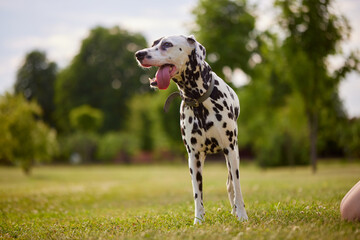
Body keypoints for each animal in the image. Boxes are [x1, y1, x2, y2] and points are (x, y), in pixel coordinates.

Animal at [135, 34, 248, 224]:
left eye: (167, 44)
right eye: (153, 43)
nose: (139, 54)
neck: (198, 101)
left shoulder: (231, 151)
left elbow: (238, 188)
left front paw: (242, 215)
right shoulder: (194, 158)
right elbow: (198, 194)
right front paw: (199, 221)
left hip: (233, 155)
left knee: (231, 184)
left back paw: (235, 210)